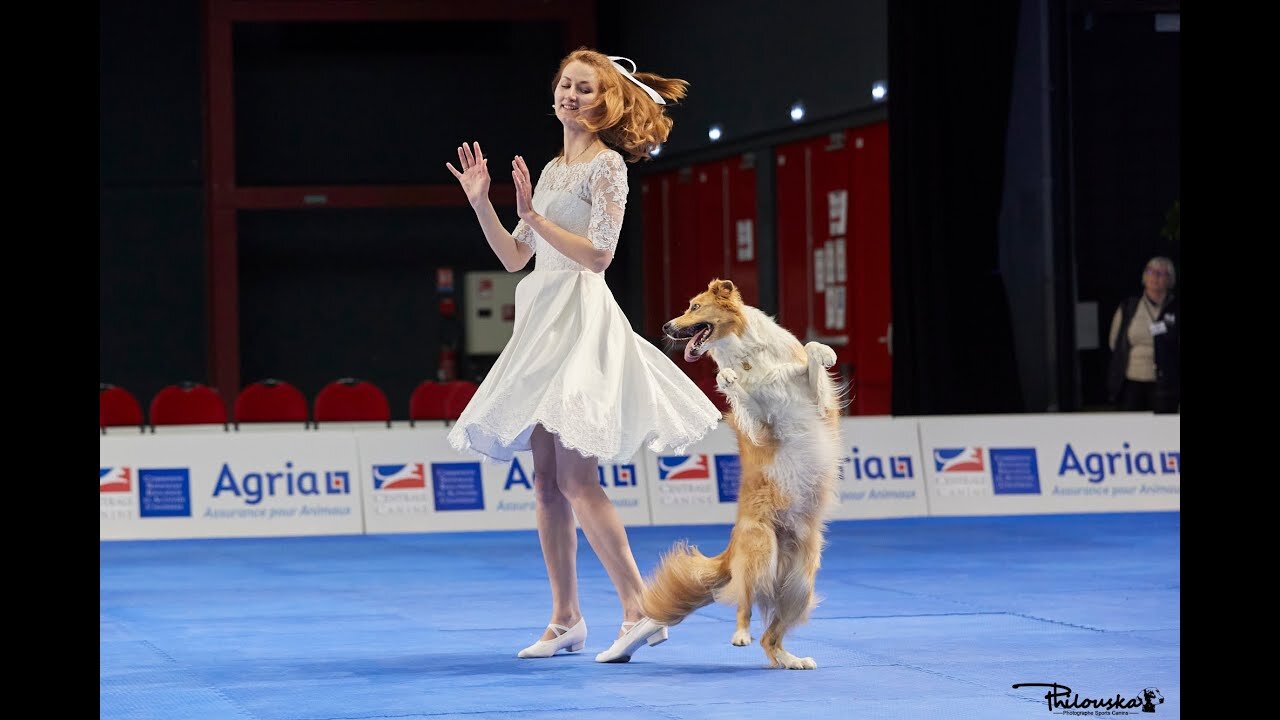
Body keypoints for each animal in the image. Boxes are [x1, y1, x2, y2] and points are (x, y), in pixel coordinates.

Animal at [645, 275, 844, 666]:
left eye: (694, 307)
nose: (666, 327)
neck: (750, 356)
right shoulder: (762, 427)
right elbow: (742, 394)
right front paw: (728, 377)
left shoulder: (817, 401)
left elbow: (812, 353)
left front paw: (824, 352)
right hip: (761, 549)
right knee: (745, 604)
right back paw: (740, 634)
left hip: (800, 584)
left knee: (771, 636)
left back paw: (792, 660)